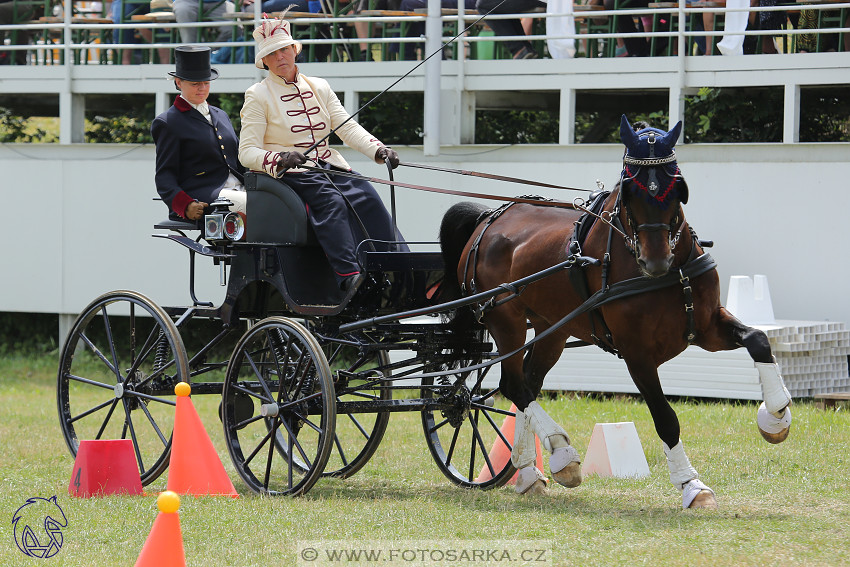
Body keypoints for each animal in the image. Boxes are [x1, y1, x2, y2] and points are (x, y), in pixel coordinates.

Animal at [440, 115, 792, 510]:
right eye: (630, 190)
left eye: (676, 186)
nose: (655, 262)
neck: (670, 274)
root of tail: (489, 217)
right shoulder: (637, 353)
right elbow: (665, 417)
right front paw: (691, 485)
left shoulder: (707, 327)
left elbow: (758, 339)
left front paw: (776, 416)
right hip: (506, 321)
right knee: (513, 384)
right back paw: (560, 452)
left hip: (552, 328)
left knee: (527, 383)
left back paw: (530, 472)